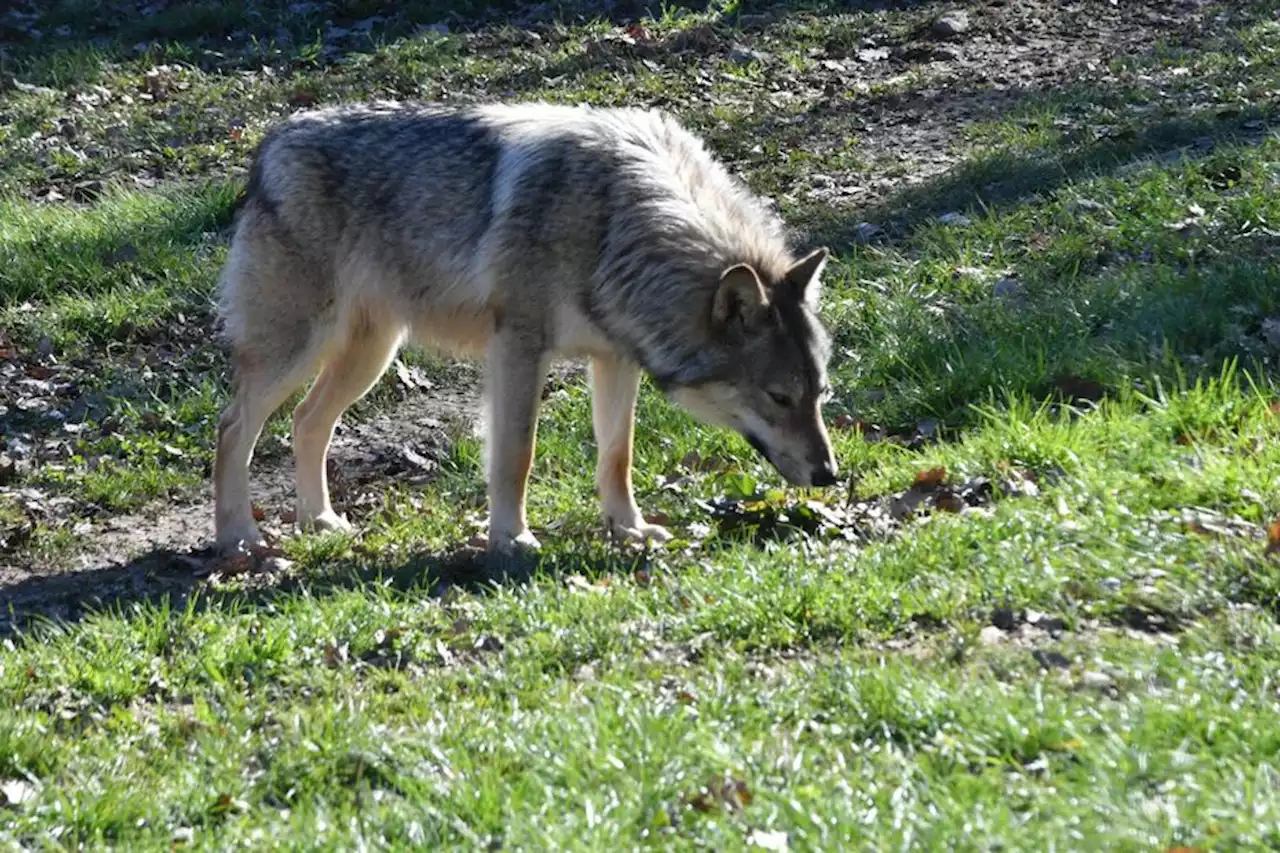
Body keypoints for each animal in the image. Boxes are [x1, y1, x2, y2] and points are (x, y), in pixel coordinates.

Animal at [212, 99, 839, 555]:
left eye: (820, 394)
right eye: (780, 397)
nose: (830, 475)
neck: (616, 222)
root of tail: (273, 139)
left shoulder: (615, 359)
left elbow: (618, 454)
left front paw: (629, 528)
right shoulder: (518, 347)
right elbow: (517, 453)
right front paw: (511, 537)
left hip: (370, 356)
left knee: (306, 422)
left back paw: (320, 520)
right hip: (297, 352)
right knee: (232, 427)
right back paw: (239, 539)